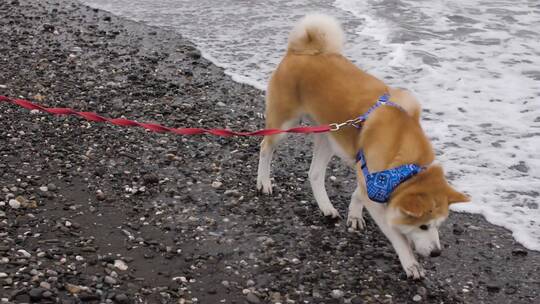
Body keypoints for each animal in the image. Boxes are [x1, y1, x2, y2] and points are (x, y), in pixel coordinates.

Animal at [256, 15, 468, 280]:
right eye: (423, 226)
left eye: (439, 225)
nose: (437, 253)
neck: (405, 164)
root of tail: (300, 50)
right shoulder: (375, 189)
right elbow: (397, 236)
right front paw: (410, 263)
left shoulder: (369, 177)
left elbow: (358, 194)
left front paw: (354, 214)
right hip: (285, 125)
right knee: (265, 146)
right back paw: (263, 181)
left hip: (328, 137)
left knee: (314, 173)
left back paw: (326, 207)